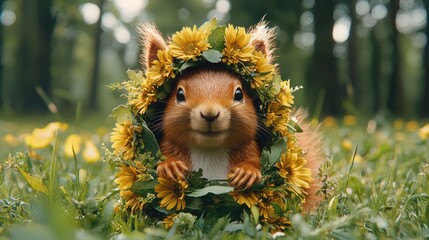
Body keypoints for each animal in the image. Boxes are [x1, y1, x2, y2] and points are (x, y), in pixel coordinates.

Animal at [139, 21, 322, 210]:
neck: (210, 151)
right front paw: (171, 166)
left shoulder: (250, 149)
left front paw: (247, 172)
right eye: (180, 94)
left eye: (239, 94)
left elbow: (254, 161)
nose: (210, 114)